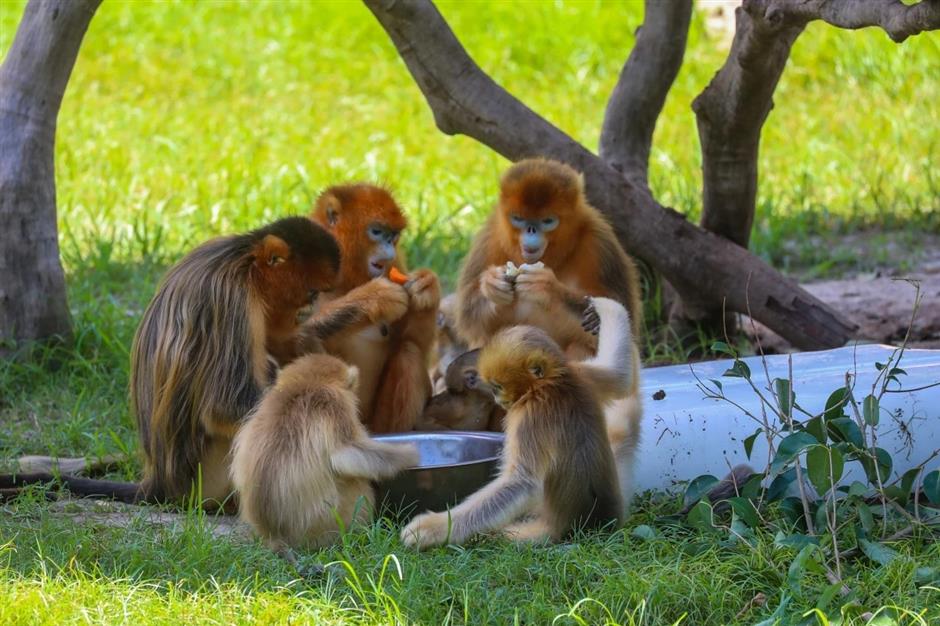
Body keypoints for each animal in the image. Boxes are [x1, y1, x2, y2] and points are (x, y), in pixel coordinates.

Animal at [2, 217, 342, 504]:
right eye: (312, 293)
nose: (311, 310)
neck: (243, 262)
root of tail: (161, 482)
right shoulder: (232, 300)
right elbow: (225, 407)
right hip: (211, 475)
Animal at [229, 354, 416, 564]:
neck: (307, 384)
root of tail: (274, 535)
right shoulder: (337, 405)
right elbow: (345, 454)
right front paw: (409, 457)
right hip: (332, 521)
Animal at [308, 183, 440, 432]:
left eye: (393, 235)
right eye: (377, 232)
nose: (388, 247)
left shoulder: (395, 263)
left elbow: (412, 341)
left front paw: (427, 287)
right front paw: (375, 297)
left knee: (408, 353)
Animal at [396, 316, 624, 544]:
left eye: (497, 386)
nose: (498, 398)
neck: (550, 385)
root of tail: (594, 522)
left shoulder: (529, 416)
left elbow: (521, 483)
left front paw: (433, 528)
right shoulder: (578, 373)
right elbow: (619, 371)